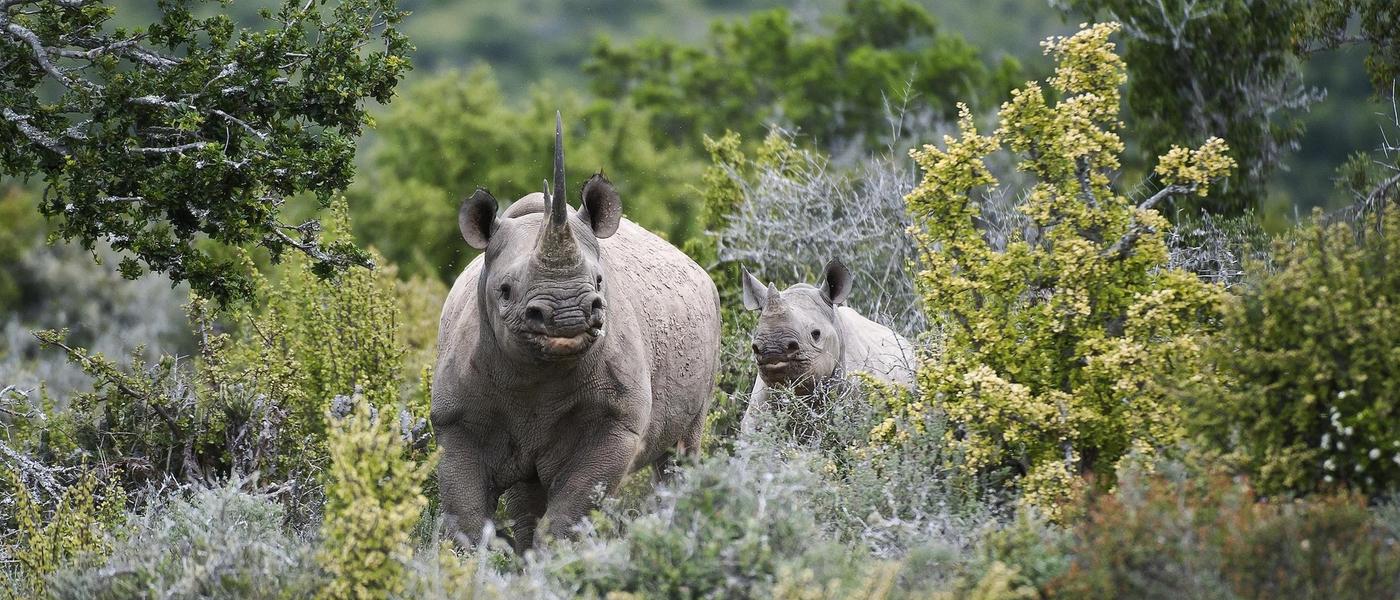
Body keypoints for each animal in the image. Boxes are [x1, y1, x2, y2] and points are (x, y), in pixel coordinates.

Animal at [432, 114, 720, 551]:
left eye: (600, 282)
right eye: (505, 290)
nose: (568, 314)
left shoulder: (616, 424)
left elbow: (569, 515)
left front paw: (557, 561)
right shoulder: (455, 421)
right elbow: (465, 517)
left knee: (680, 453)